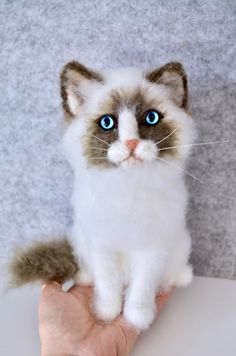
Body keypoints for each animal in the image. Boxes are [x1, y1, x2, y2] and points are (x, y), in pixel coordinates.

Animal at [60, 59, 195, 330]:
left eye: (151, 118)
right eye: (107, 123)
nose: (131, 144)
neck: (129, 185)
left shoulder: (153, 247)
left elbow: (142, 286)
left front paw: (137, 316)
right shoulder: (102, 245)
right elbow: (108, 283)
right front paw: (107, 312)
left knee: (171, 272)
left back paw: (182, 276)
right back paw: (84, 277)